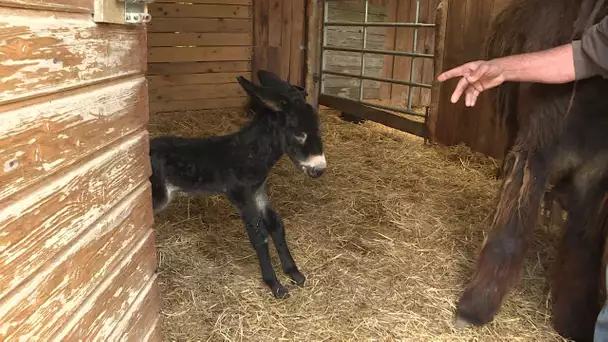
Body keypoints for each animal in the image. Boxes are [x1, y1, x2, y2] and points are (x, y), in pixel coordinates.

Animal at [148, 71, 328, 298]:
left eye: (319, 128)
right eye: (298, 133)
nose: (319, 169)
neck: (249, 152)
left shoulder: (258, 191)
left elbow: (275, 225)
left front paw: (294, 272)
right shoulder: (241, 195)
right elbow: (259, 235)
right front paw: (275, 285)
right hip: (157, 196)